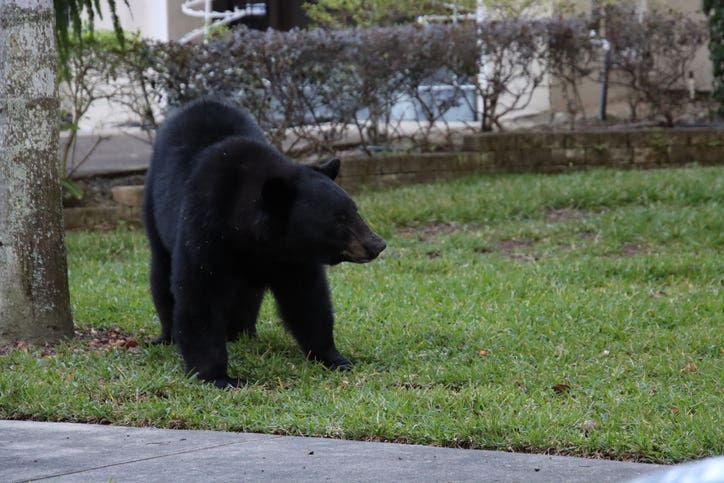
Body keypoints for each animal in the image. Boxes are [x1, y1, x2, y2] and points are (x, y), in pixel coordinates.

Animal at [144, 98, 388, 390]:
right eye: (338, 220)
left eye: (354, 210)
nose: (377, 244)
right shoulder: (204, 225)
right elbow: (198, 292)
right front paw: (218, 376)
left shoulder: (291, 258)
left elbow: (307, 298)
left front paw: (336, 358)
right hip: (153, 209)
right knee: (161, 274)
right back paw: (166, 336)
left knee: (247, 296)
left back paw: (242, 333)